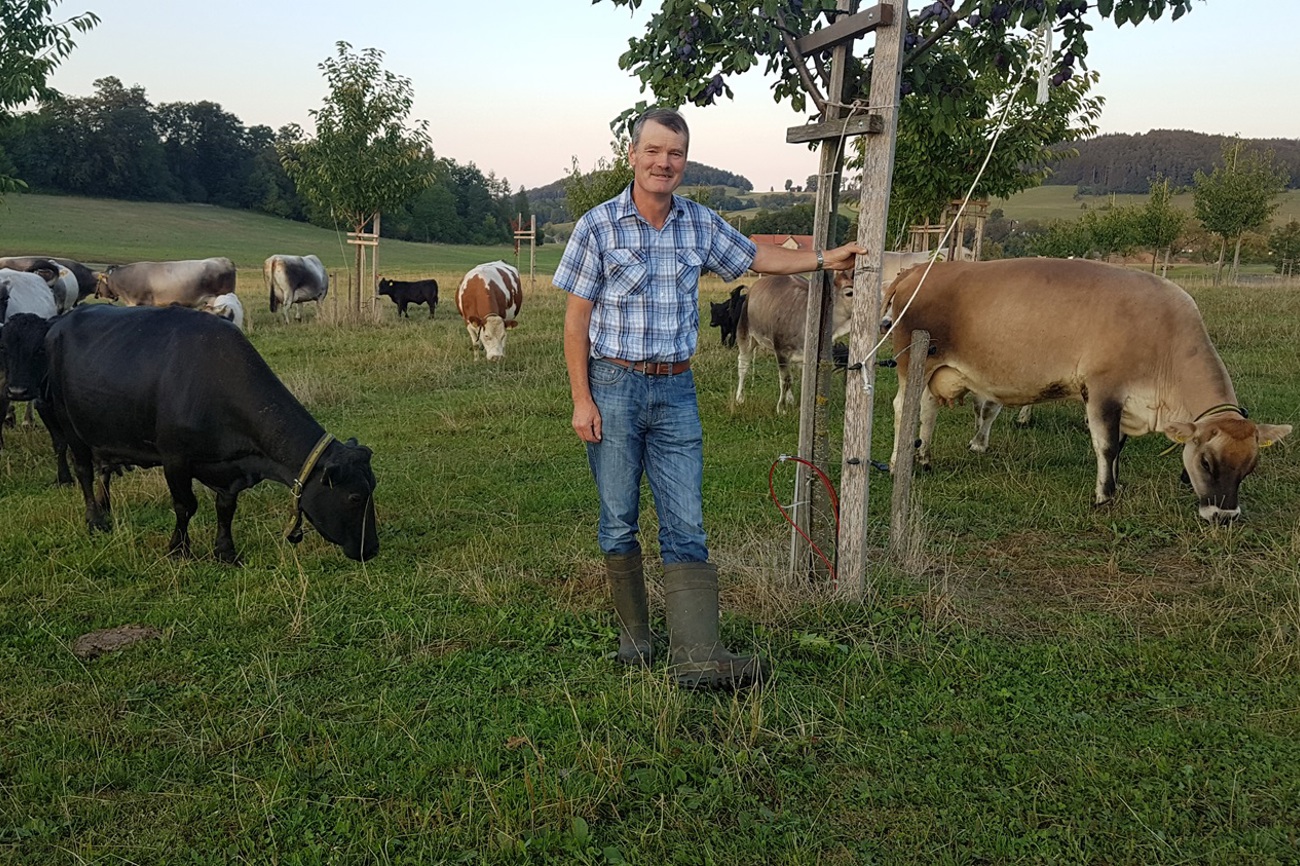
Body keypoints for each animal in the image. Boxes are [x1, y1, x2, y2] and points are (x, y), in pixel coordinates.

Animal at [40, 302, 382, 559]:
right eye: (354, 497)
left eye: (372, 488)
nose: (371, 549)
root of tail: (62, 320)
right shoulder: (175, 458)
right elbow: (185, 505)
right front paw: (178, 549)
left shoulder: (228, 469)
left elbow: (226, 508)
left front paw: (225, 551)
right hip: (70, 425)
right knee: (84, 471)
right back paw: (95, 519)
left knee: (104, 470)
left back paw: (106, 509)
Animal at [738, 271, 857, 410]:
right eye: (849, 293)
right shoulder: (781, 351)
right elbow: (786, 380)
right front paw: (781, 408)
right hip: (745, 335)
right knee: (743, 365)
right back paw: (739, 397)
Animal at [883, 256, 1289, 520]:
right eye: (1205, 461)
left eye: (1251, 466)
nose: (1224, 515)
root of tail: (918, 270)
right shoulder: (1103, 389)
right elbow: (1106, 445)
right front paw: (1104, 495)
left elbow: (1119, 446)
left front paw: (1117, 485)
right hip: (911, 359)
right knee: (903, 407)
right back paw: (896, 463)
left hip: (935, 370)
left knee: (926, 409)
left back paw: (923, 458)